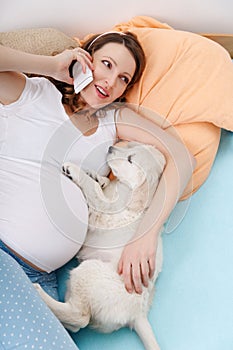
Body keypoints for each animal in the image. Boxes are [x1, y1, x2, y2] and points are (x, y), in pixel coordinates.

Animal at [34, 141, 166, 348]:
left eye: (130, 159)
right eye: (131, 146)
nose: (111, 148)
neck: (128, 190)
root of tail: (138, 314)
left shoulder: (104, 210)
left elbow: (94, 191)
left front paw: (76, 171)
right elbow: (101, 185)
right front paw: (96, 176)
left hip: (89, 272)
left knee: (80, 318)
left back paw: (40, 293)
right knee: (76, 324)